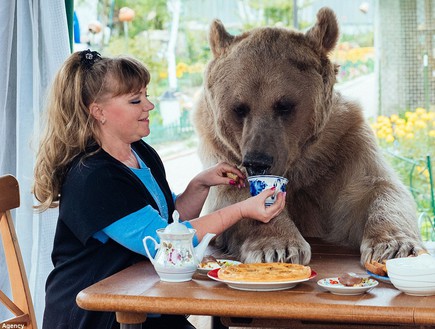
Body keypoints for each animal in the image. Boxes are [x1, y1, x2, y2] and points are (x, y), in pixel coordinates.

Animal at [192, 7, 428, 264]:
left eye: (284, 105)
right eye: (239, 108)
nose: (257, 162)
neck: (299, 162)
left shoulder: (343, 144)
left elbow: (377, 188)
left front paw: (395, 246)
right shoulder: (221, 148)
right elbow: (233, 197)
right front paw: (278, 246)